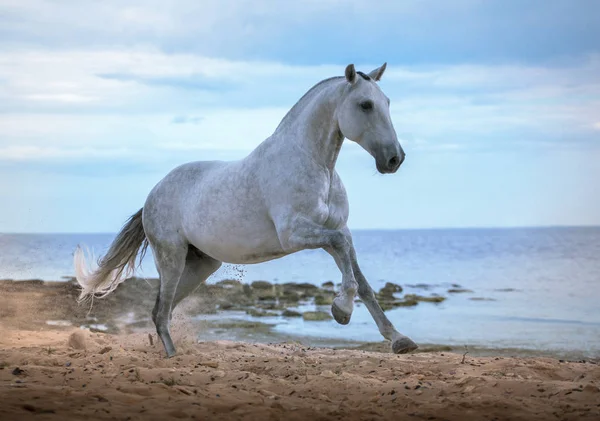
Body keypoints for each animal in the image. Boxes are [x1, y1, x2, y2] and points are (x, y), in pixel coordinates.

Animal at [74, 63, 418, 358]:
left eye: (387, 102)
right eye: (365, 105)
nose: (395, 159)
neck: (316, 165)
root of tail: (151, 197)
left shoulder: (336, 228)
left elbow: (362, 280)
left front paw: (399, 340)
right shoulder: (297, 233)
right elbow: (343, 251)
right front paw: (341, 310)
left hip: (201, 265)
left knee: (163, 311)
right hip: (171, 258)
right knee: (160, 310)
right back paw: (172, 357)